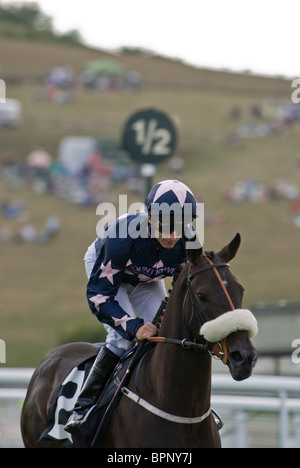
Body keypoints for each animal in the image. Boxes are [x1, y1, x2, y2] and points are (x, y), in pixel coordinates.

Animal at [20, 236, 258, 448]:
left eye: (241, 289)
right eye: (202, 295)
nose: (244, 357)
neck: (183, 411)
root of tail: (50, 358)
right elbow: (99, 295)